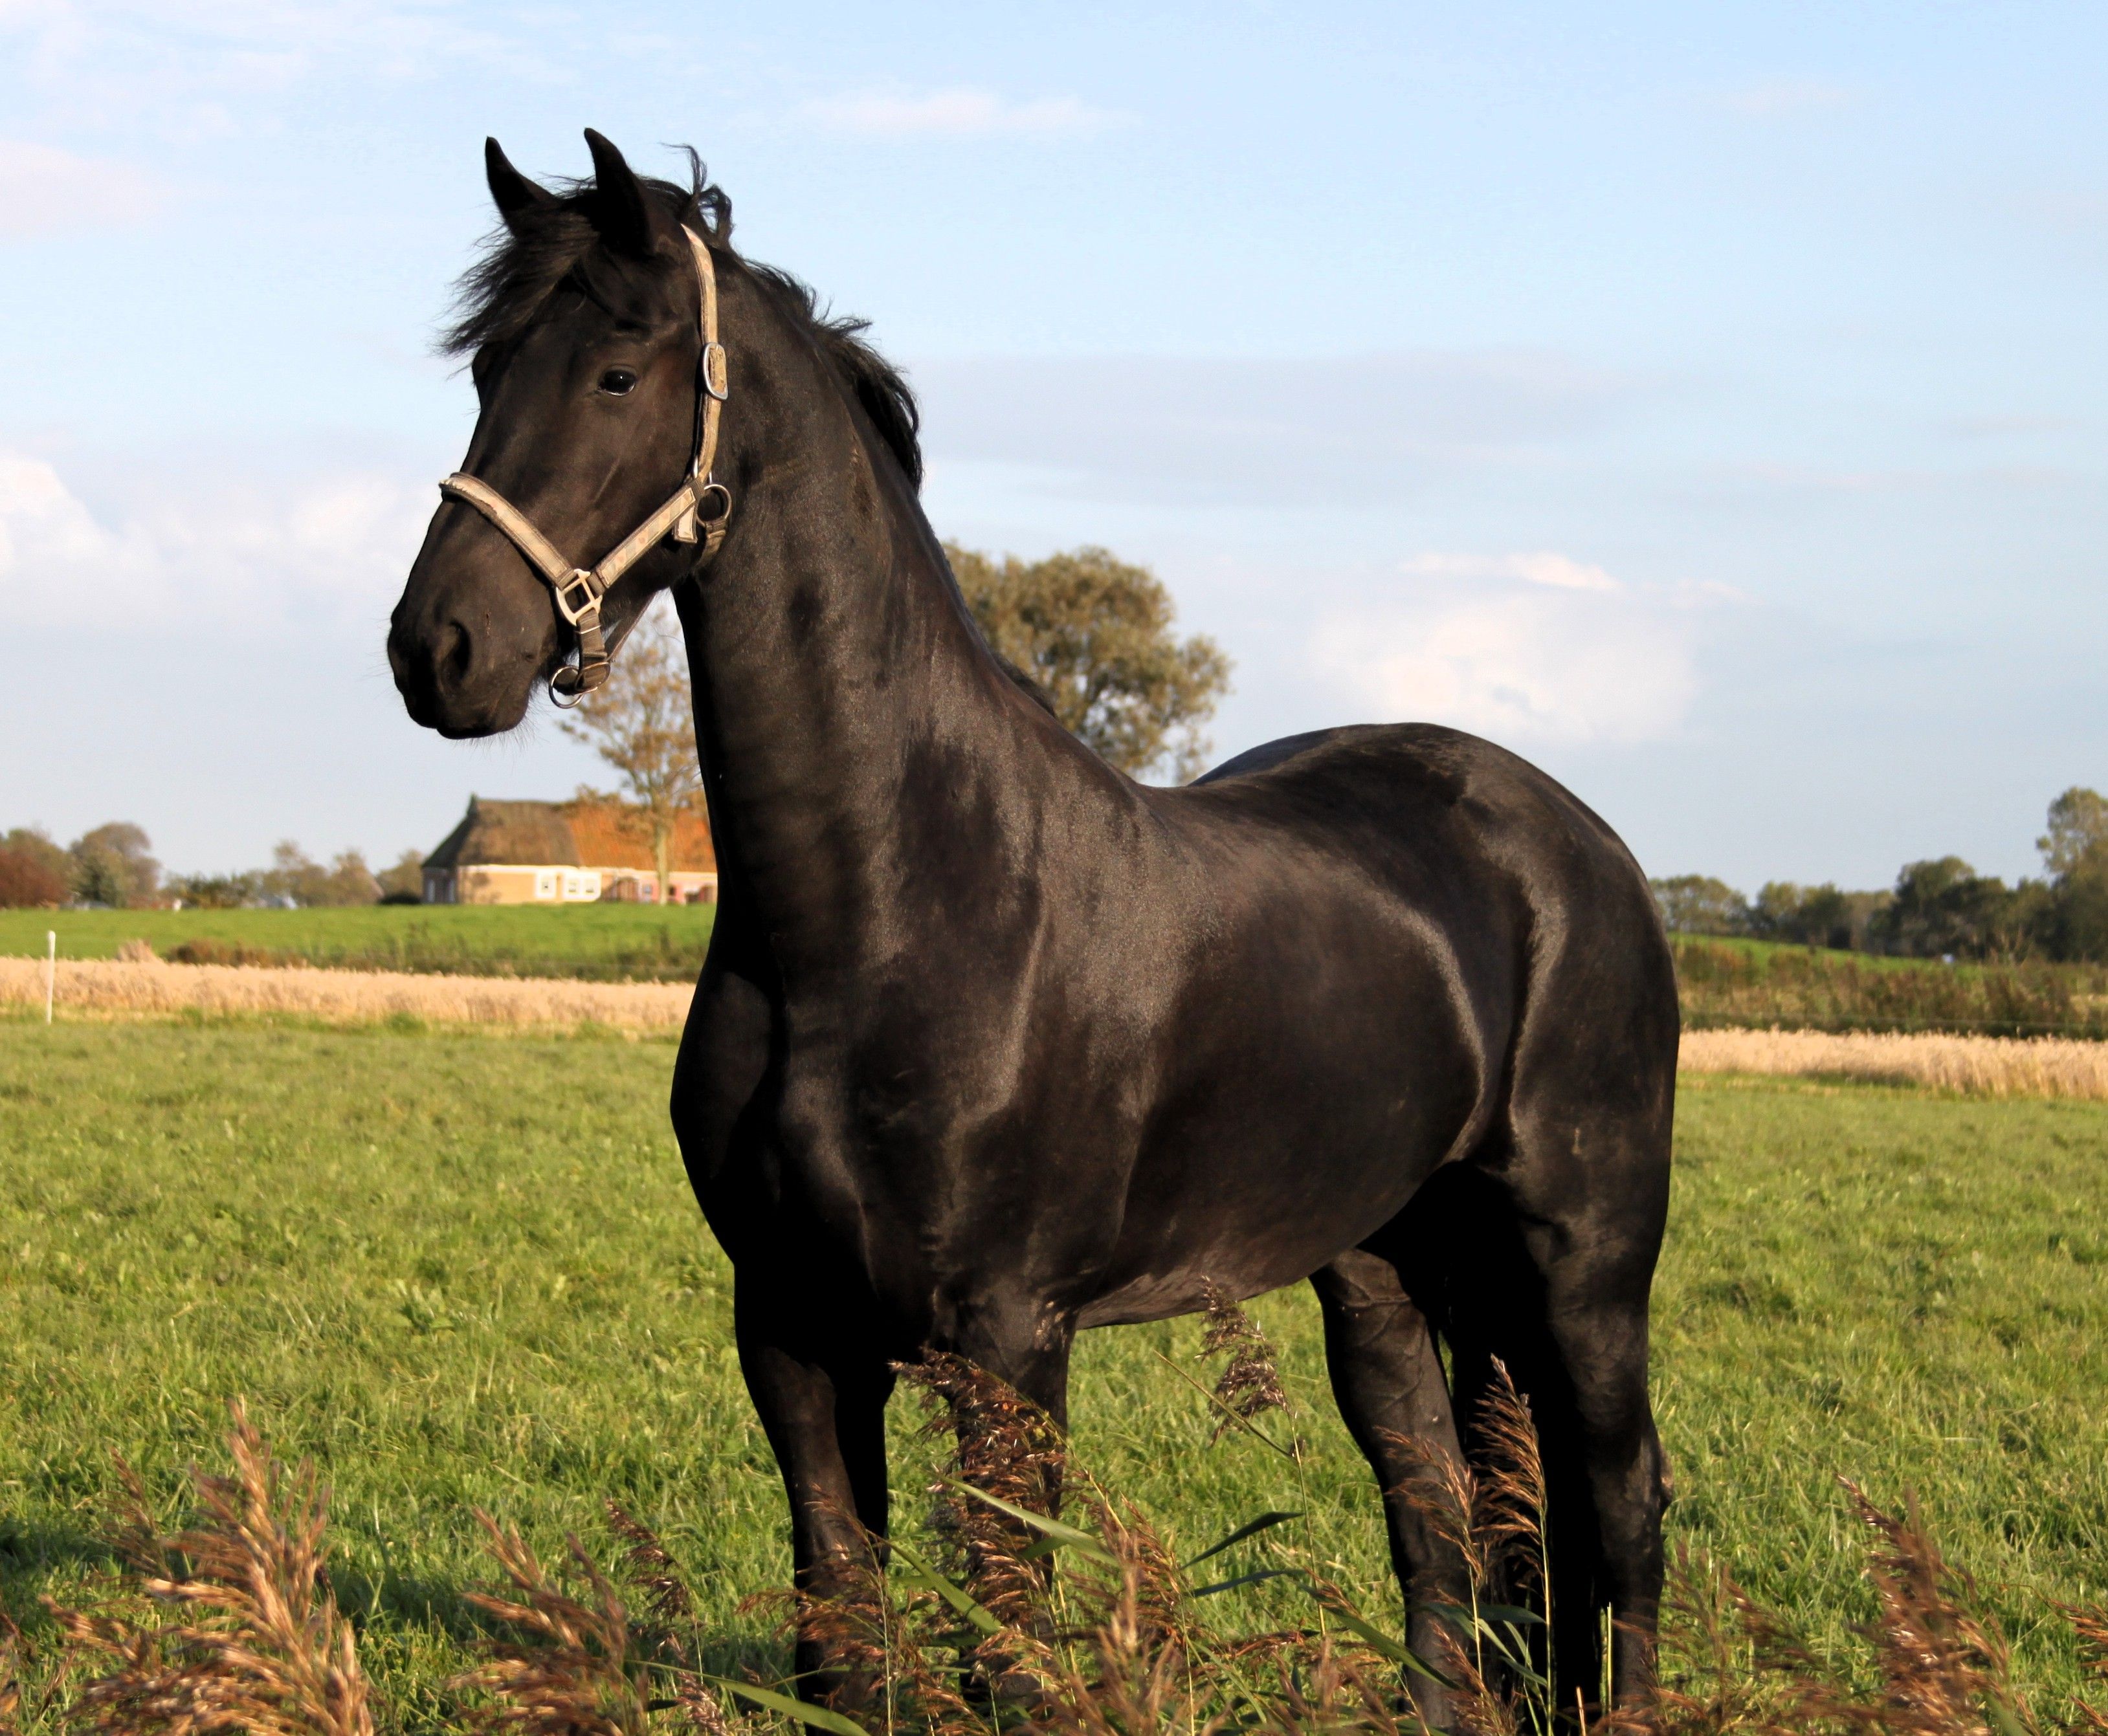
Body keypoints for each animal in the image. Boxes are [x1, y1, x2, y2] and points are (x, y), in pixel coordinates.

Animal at [386, 131, 1678, 1726]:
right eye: (486, 368)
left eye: (619, 373)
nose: (438, 649)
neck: (894, 910)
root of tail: (1578, 843)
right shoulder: (788, 1327)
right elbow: (839, 1629)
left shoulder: (1007, 1339)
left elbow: (1005, 1641)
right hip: (1384, 1268)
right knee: (1446, 1507)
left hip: (1582, 1263)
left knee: (1615, 1503)